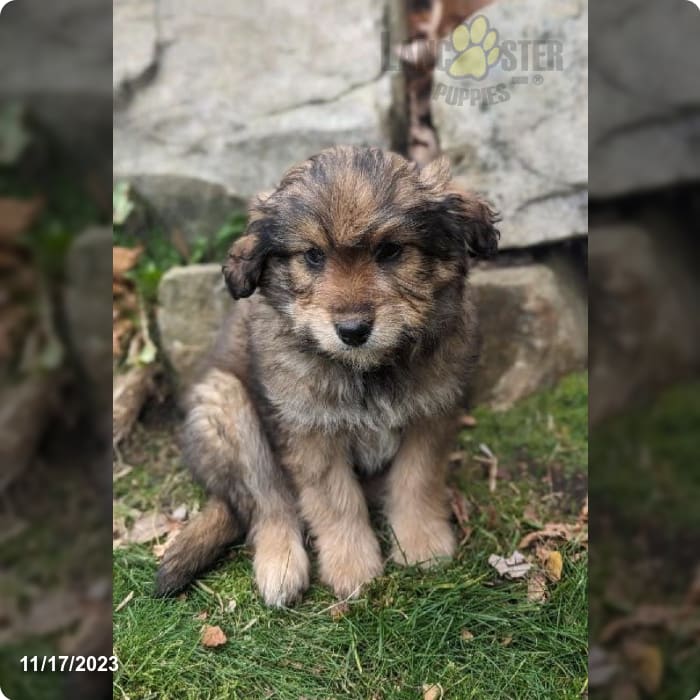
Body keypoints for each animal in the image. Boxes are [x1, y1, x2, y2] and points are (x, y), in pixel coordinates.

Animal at [159, 145, 498, 604]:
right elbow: (336, 501)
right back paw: (281, 566)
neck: (367, 369)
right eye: (313, 256)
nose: (353, 331)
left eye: (390, 250)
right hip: (227, 407)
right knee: (267, 501)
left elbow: (417, 480)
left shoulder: (433, 412)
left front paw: (421, 544)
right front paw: (353, 567)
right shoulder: (309, 431)